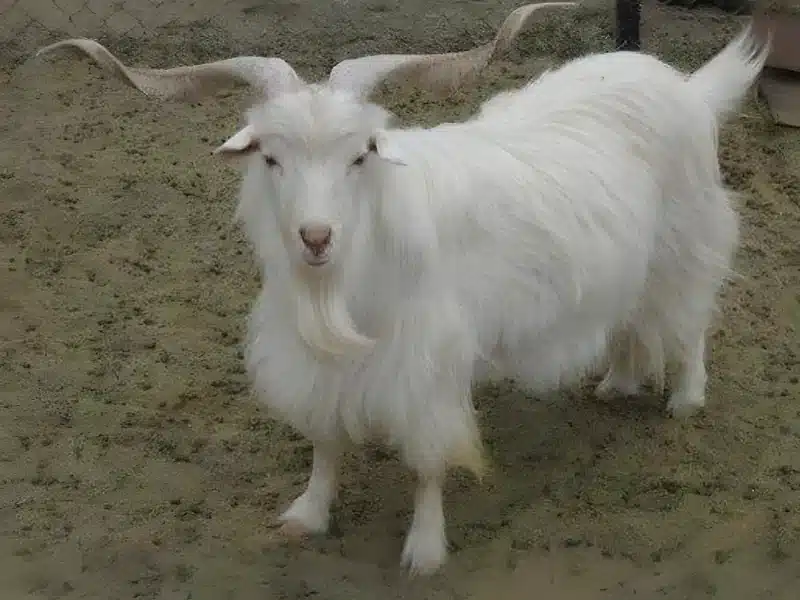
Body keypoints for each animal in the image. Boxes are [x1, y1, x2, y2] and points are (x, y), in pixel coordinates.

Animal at [36, 6, 768, 575]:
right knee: (632, 322)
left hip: (686, 240)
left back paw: (685, 398)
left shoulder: (427, 366)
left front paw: (424, 551)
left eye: (361, 152)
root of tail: (688, 88)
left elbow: (427, 462)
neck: (343, 283)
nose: (316, 237)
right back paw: (618, 382)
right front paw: (307, 515)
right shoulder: (321, 363)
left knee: (691, 319)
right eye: (271, 157)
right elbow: (325, 441)